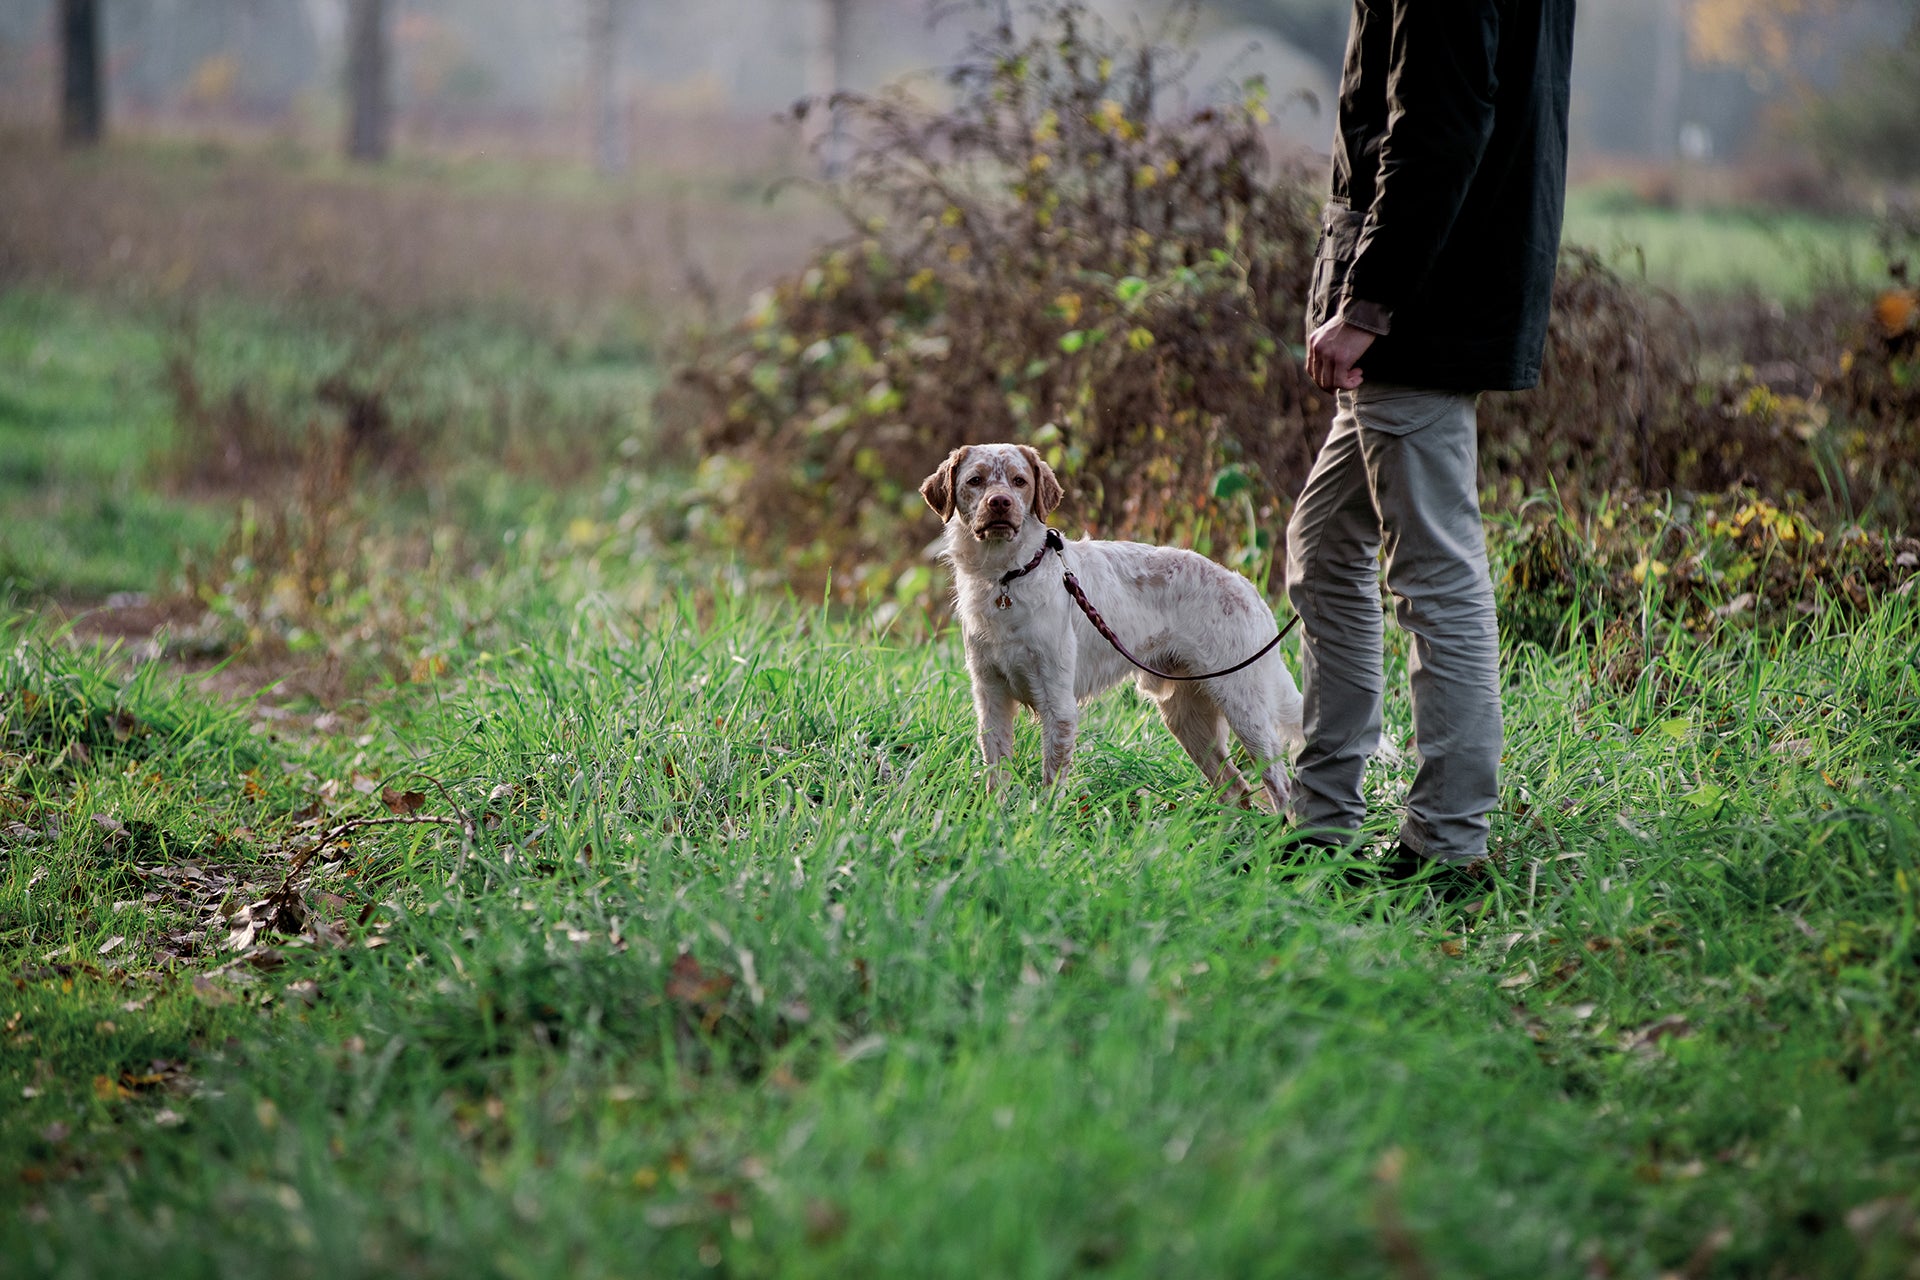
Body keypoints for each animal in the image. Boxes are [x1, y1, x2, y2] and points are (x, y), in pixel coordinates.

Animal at [917, 445, 1305, 805]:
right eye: (975, 480)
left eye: (1019, 481)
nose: (1000, 502)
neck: (1005, 579)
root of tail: (1250, 592)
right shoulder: (990, 694)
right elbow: (997, 773)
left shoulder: (1057, 703)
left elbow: (1051, 782)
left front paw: (1043, 822)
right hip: (1187, 718)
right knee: (1236, 789)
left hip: (1245, 708)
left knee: (1281, 787)